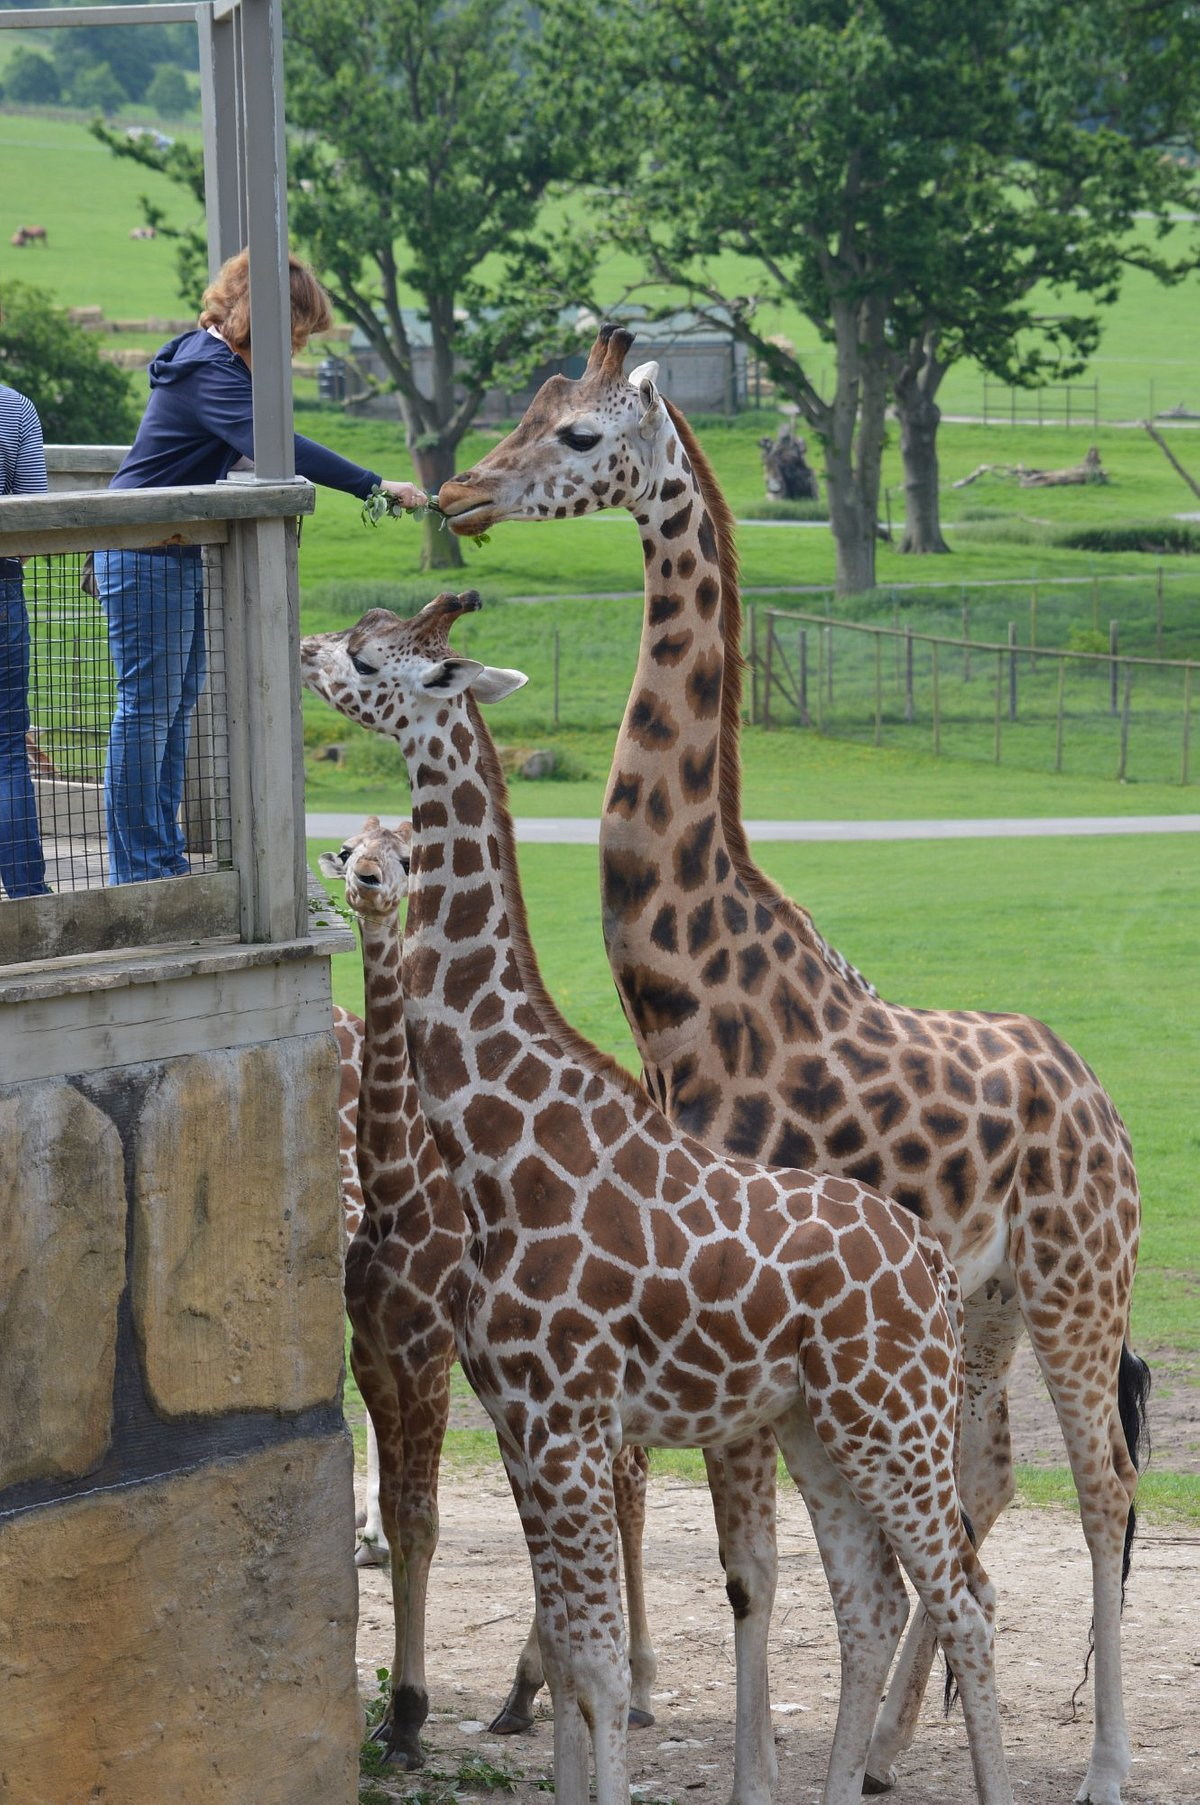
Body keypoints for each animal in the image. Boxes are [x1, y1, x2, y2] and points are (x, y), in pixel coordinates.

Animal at [323, 823, 656, 1761]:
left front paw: (408, 1714)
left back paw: (629, 1681)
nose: (366, 882)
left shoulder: (428, 1351)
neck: (394, 1190)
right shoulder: (375, 1348)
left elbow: (424, 1518)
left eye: (402, 851)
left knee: (626, 1477)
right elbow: (400, 1509)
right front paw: (395, 1713)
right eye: (349, 846)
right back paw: (532, 1686)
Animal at [434, 324, 1147, 1805]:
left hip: (1077, 1284)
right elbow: (761, 1565)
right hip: (982, 1309)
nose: (461, 495)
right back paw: (887, 1744)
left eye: (578, 434)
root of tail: (1099, 1091)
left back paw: (1101, 1763)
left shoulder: (739, 1327)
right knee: (984, 1484)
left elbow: (756, 1572)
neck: (692, 992)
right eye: (528, 404)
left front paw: (754, 1768)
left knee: (1100, 1486)